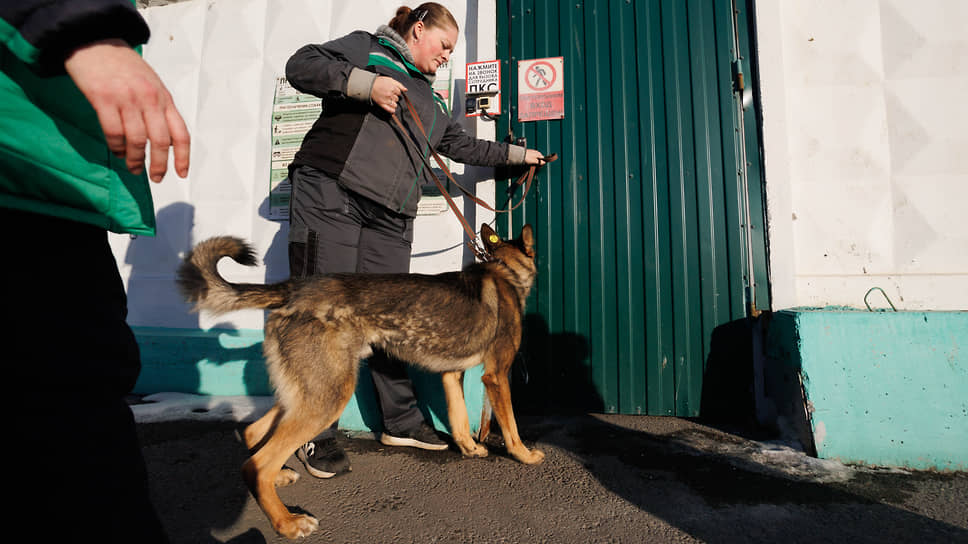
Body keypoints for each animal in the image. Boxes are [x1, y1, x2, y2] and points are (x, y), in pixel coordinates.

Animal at [177, 223, 544, 536]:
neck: (504, 268)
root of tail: (295, 289)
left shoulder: (452, 375)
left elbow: (459, 418)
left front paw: (470, 448)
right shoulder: (497, 376)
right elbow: (510, 427)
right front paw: (524, 456)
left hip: (306, 393)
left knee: (254, 436)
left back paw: (278, 480)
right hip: (328, 397)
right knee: (258, 463)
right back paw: (287, 523)